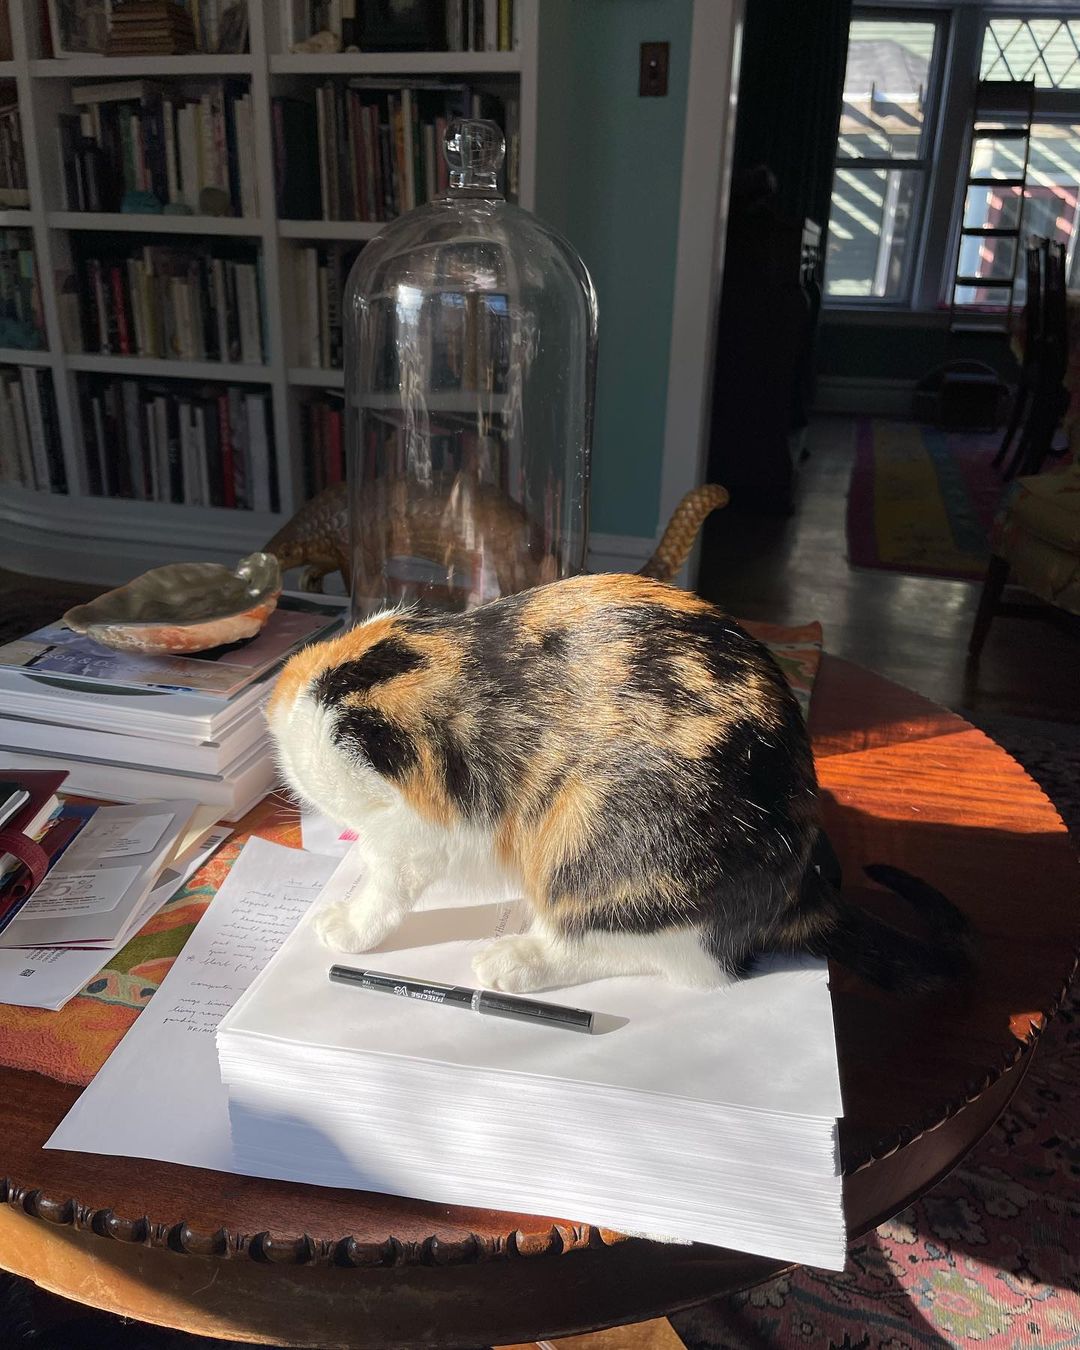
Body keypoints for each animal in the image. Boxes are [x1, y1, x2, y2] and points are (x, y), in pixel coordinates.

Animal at [269, 573, 971, 994]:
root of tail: (802, 890)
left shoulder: (417, 835)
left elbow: (385, 888)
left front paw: (350, 920)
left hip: (592, 841)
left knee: (668, 956)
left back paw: (520, 959)